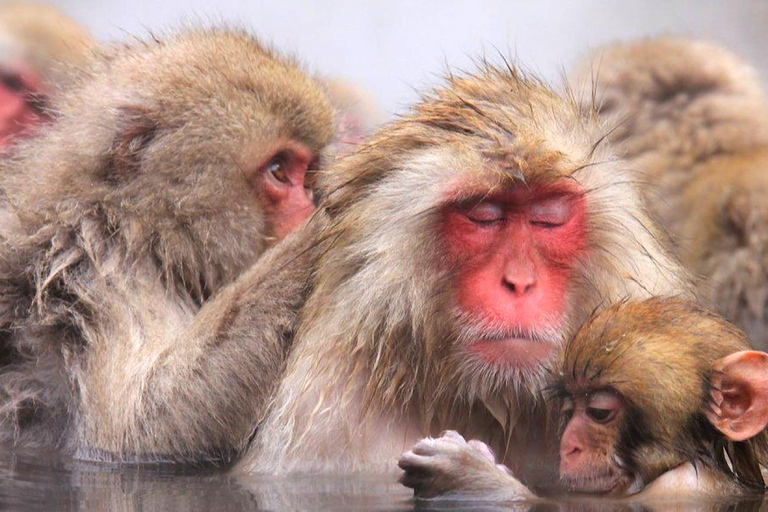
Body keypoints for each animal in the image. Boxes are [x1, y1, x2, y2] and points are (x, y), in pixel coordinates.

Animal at [0, 27, 332, 460]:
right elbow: (139, 432)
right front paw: (317, 233)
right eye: (278, 171)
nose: (308, 206)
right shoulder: (107, 282)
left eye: (307, 175)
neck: (139, 230)